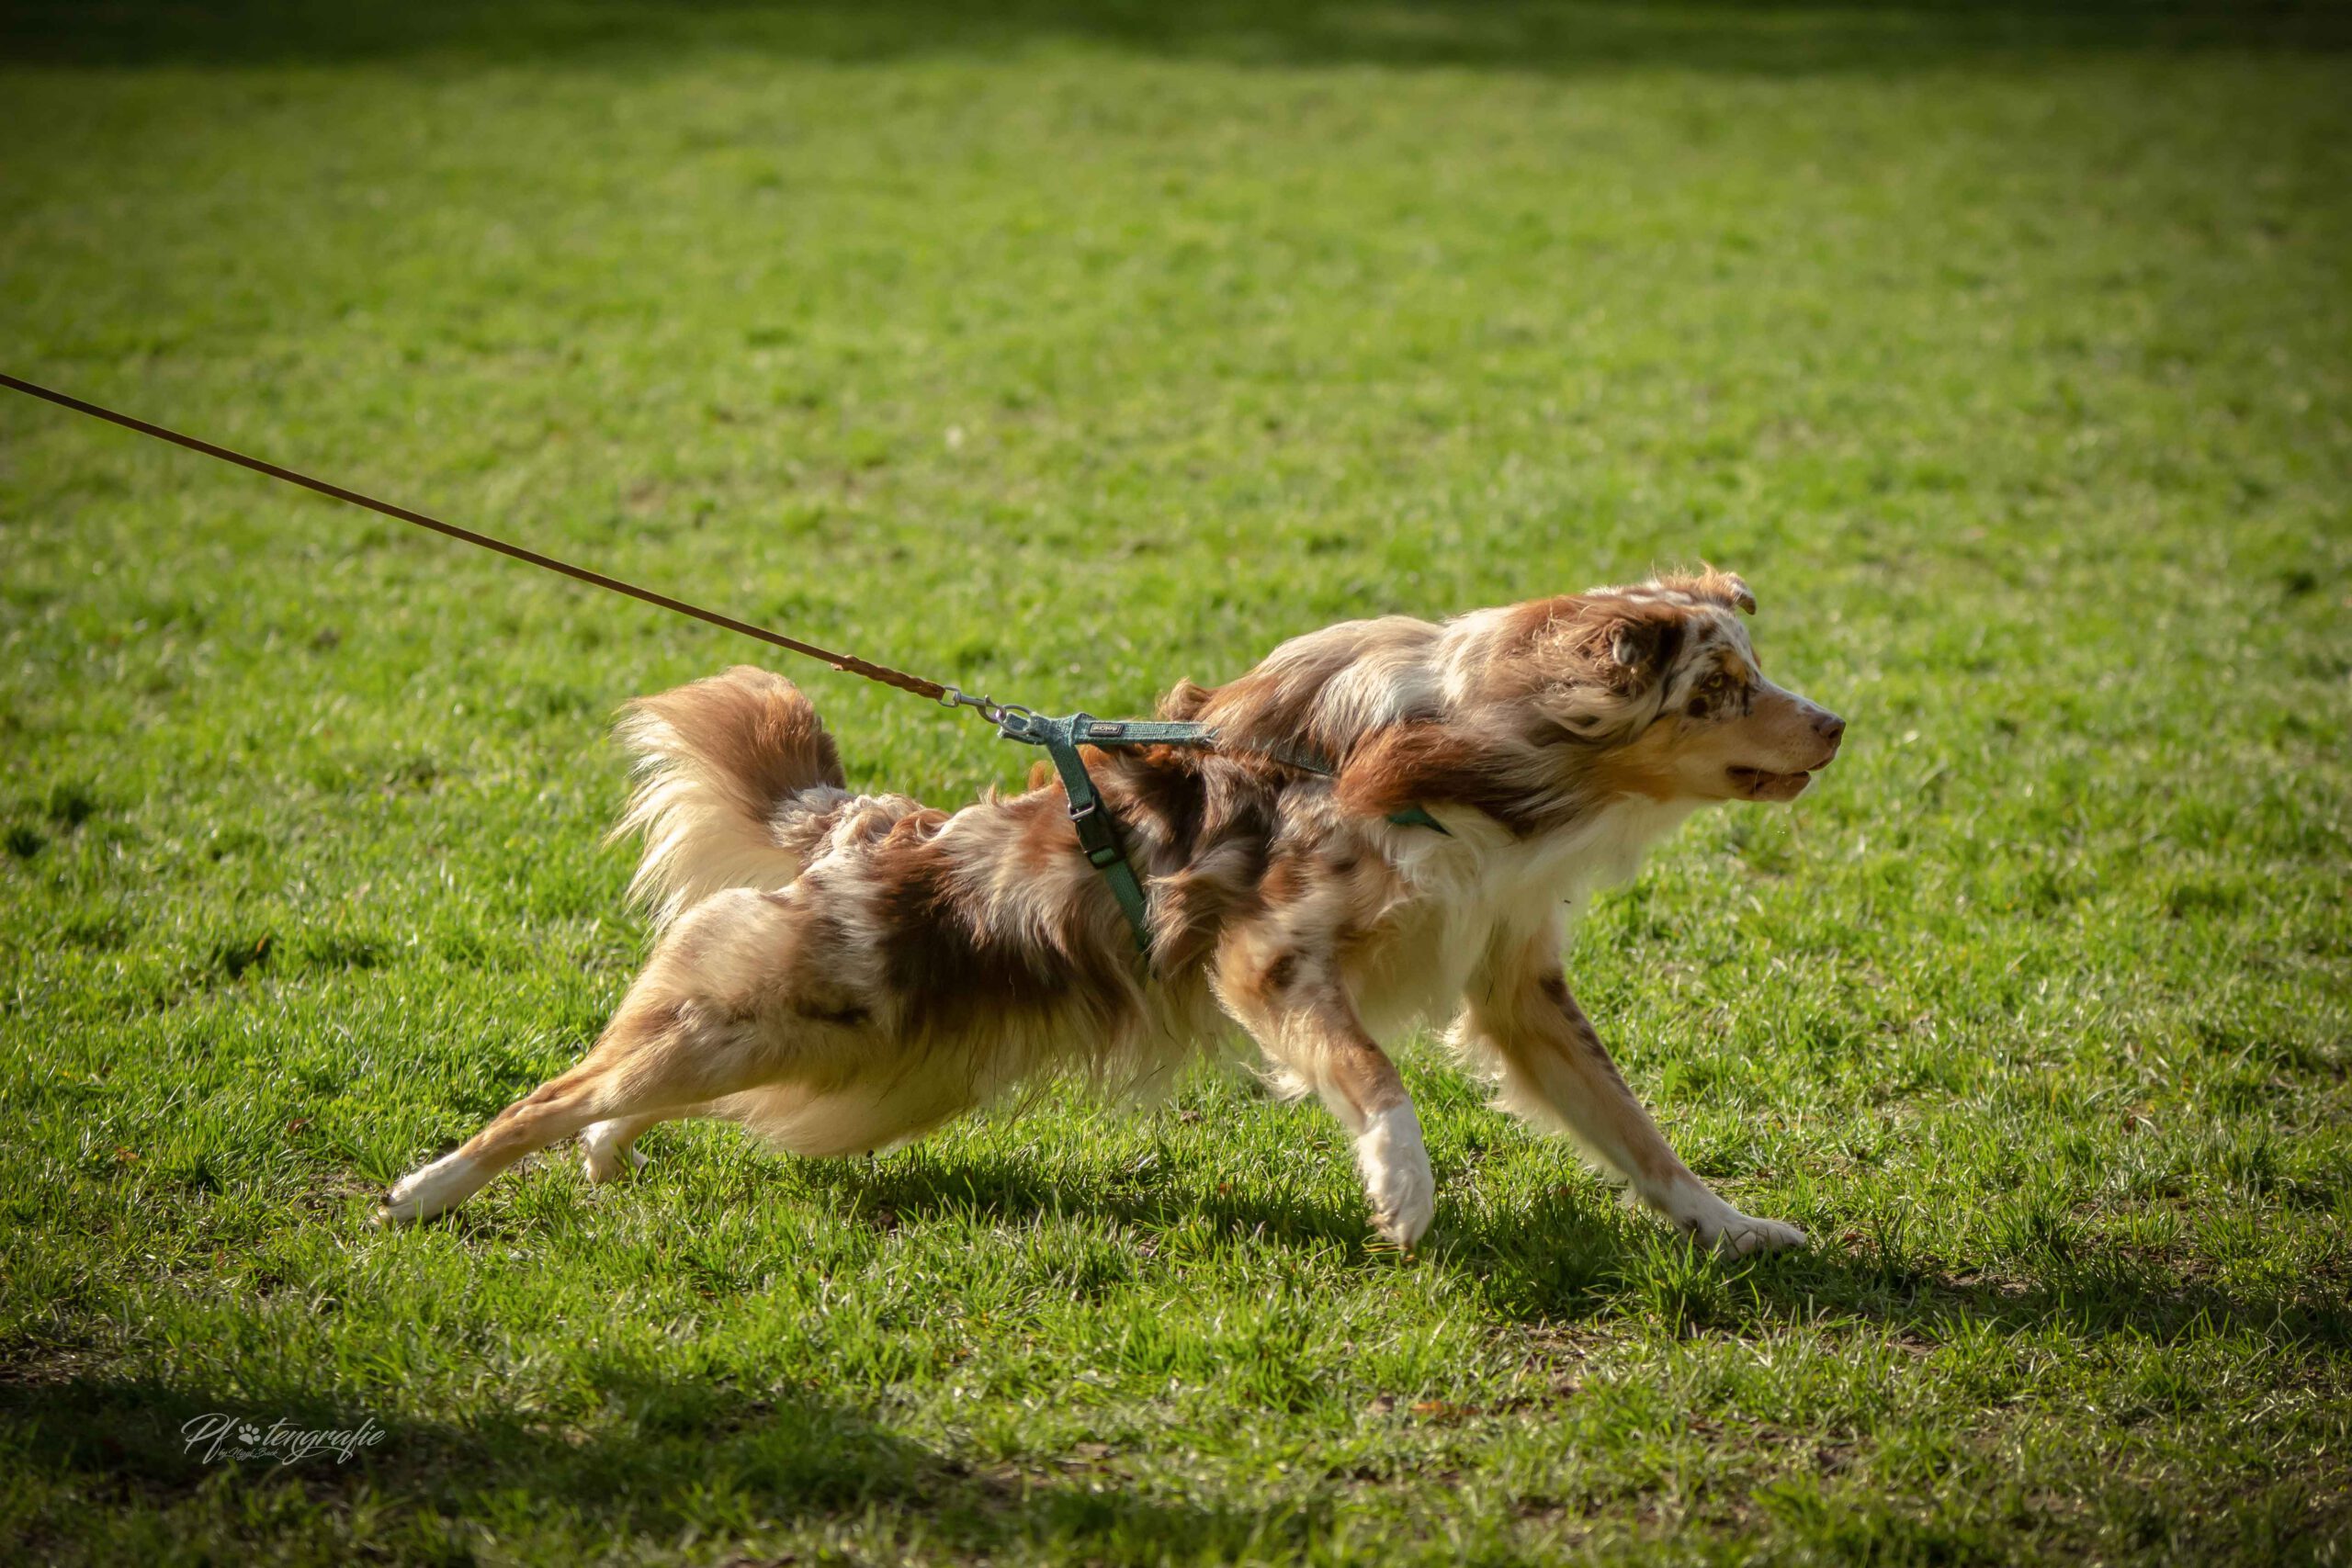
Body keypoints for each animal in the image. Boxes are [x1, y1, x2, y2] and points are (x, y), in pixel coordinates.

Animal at [380, 570, 1834, 1259]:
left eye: (1757, 672)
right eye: (1722, 688)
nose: (1834, 723)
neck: (1481, 755)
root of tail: (852, 828)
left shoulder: (1516, 981)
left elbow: (1631, 1127)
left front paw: (1734, 1229)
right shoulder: (1265, 953)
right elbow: (1373, 1074)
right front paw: (1403, 1189)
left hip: (848, 1066)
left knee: (623, 1093)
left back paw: (601, 1156)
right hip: (777, 1020)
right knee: (555, 1089)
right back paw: (426, 1190)